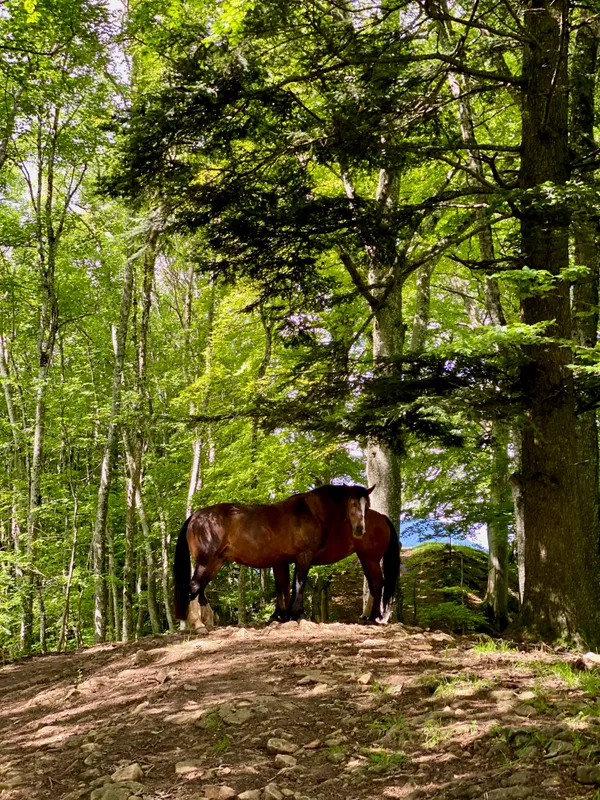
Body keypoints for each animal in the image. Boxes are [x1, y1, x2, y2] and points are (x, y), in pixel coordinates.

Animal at [174, 484, 377, 624]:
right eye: (353, 503)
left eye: (367, 506)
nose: (360, 529)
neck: (311, 511)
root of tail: (195, 516)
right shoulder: (303, 556)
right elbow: (299, 584)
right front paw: (299, 614)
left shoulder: (287, 560)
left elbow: (288, 587)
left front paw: (285, 615)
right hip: (206, 561)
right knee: (194, 586)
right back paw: (198, 624)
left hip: (216, 562)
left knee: (200, 588)